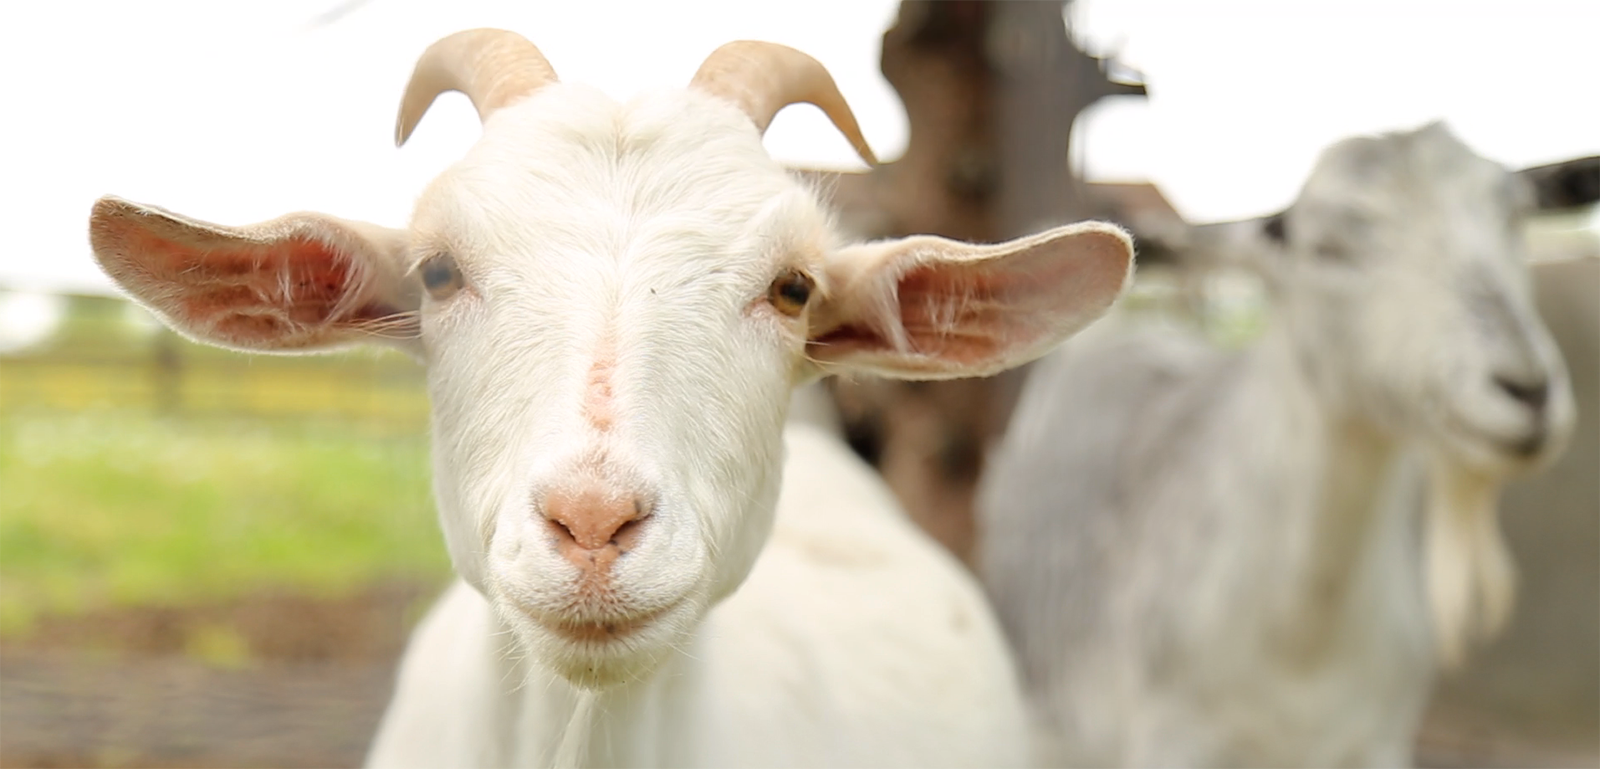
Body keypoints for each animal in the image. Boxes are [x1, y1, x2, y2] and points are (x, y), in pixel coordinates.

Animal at [977, 123, 1575, 769]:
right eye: (1328, 250)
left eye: (1515, 218)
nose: (1527, 388)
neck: (1305, 639)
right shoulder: (1171, 737)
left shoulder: (1380, 739)